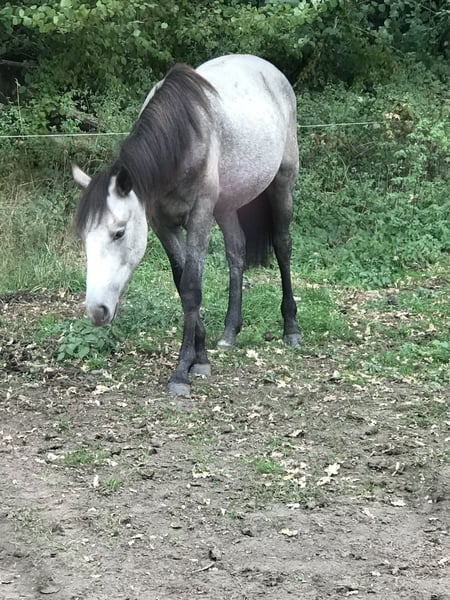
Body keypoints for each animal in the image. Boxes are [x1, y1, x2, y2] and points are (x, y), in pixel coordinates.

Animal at [72, 54, 301, 397]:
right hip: (228, 205)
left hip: (282, 184)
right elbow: (182, 285)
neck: (184, 139)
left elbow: (193, 287)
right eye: (84, 238)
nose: (96, 311)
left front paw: (182, 371)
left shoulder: (199, 216)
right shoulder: (162, 224)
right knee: (236, 252)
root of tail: (271, 70)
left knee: (283, 246)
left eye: (119, 232)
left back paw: (291, 328)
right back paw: (230, 332)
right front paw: (201, 357)